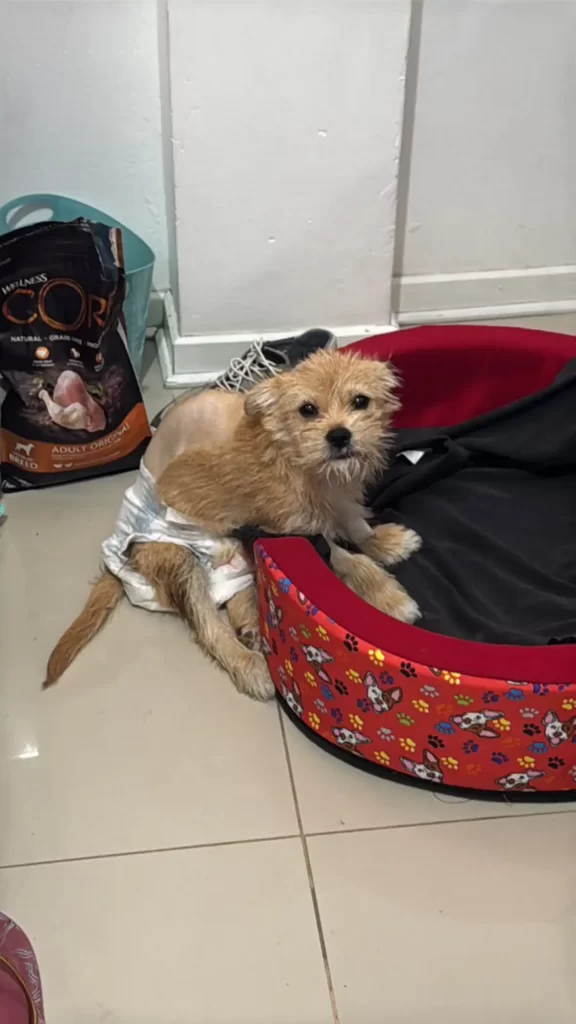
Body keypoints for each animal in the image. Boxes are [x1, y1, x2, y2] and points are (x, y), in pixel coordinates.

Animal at [44, 349, 421, 699]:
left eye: (360, 401)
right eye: (307, 410)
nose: (340, 436)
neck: (296, 459)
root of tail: (120, 557)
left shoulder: (339, 500)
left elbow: (356, 525)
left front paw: (386, 542)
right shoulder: (285, 527)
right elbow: (346, 558)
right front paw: (388, 596)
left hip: (235, 554)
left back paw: (251, 623)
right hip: (180, 559)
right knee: (207, 624)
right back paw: (249, 665)